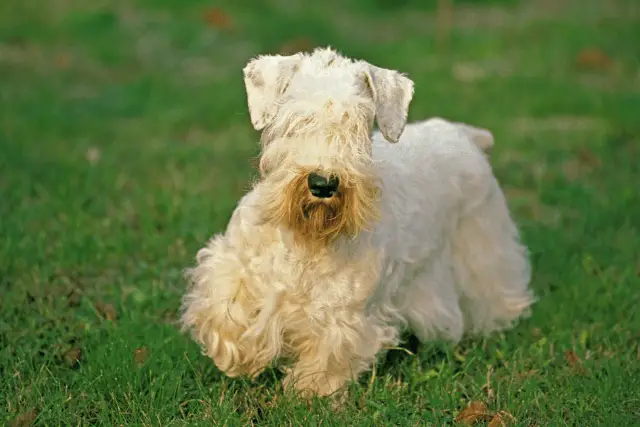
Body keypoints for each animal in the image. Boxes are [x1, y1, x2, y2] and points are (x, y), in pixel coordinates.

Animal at [181, 48, 536, 400]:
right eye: (296, 119)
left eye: (358, 124)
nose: (323, 183)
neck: (306, 238)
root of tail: (466, 136)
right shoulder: (236, 266)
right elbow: (226, 306)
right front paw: (239, 357)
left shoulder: (344, 313)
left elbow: (328, 354)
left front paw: (308, 393)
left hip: (483, 251)